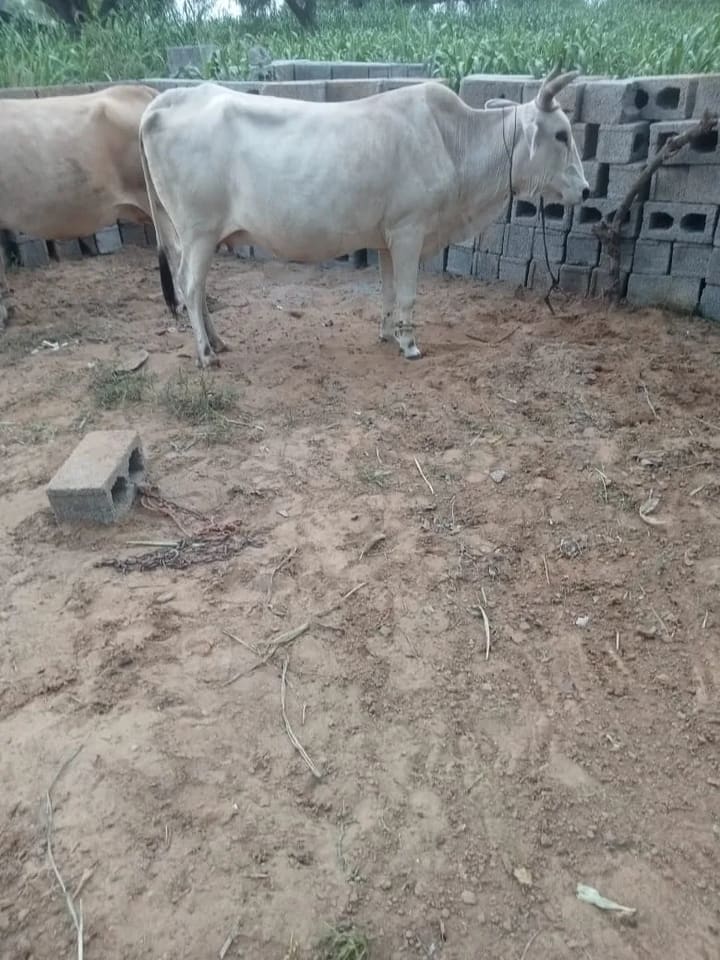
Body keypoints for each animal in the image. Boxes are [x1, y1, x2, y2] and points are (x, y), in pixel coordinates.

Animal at [138, 67, 589, 369]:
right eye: (561, 134)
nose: (585, 190)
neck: (452, 142)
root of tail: (168, 100)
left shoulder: (387, 237)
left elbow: (389, 294)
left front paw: (389, 334)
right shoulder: (409, 231)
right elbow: (407, 294)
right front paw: (410, 346)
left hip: (197, 237)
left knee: (195, 288)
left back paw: (218, 343)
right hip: (198, 232)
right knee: (191, 286)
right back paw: (205, 354)